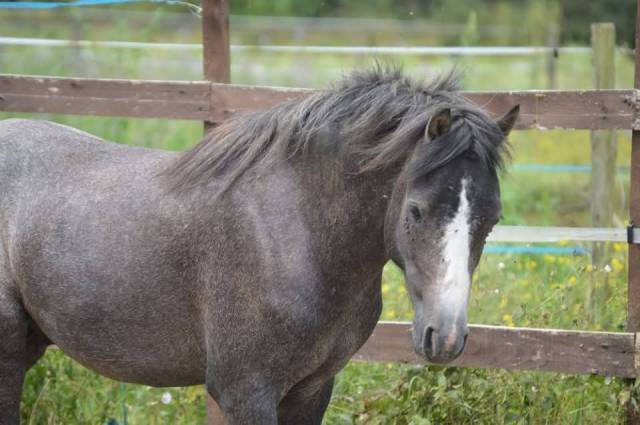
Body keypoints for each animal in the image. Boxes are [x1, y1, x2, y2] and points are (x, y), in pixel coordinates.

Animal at [0, 67, 518, 424]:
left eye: (492, 219)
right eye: (416, 211)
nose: (444, 338)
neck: (298, 239)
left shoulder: (312, 388)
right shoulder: (246, 392)